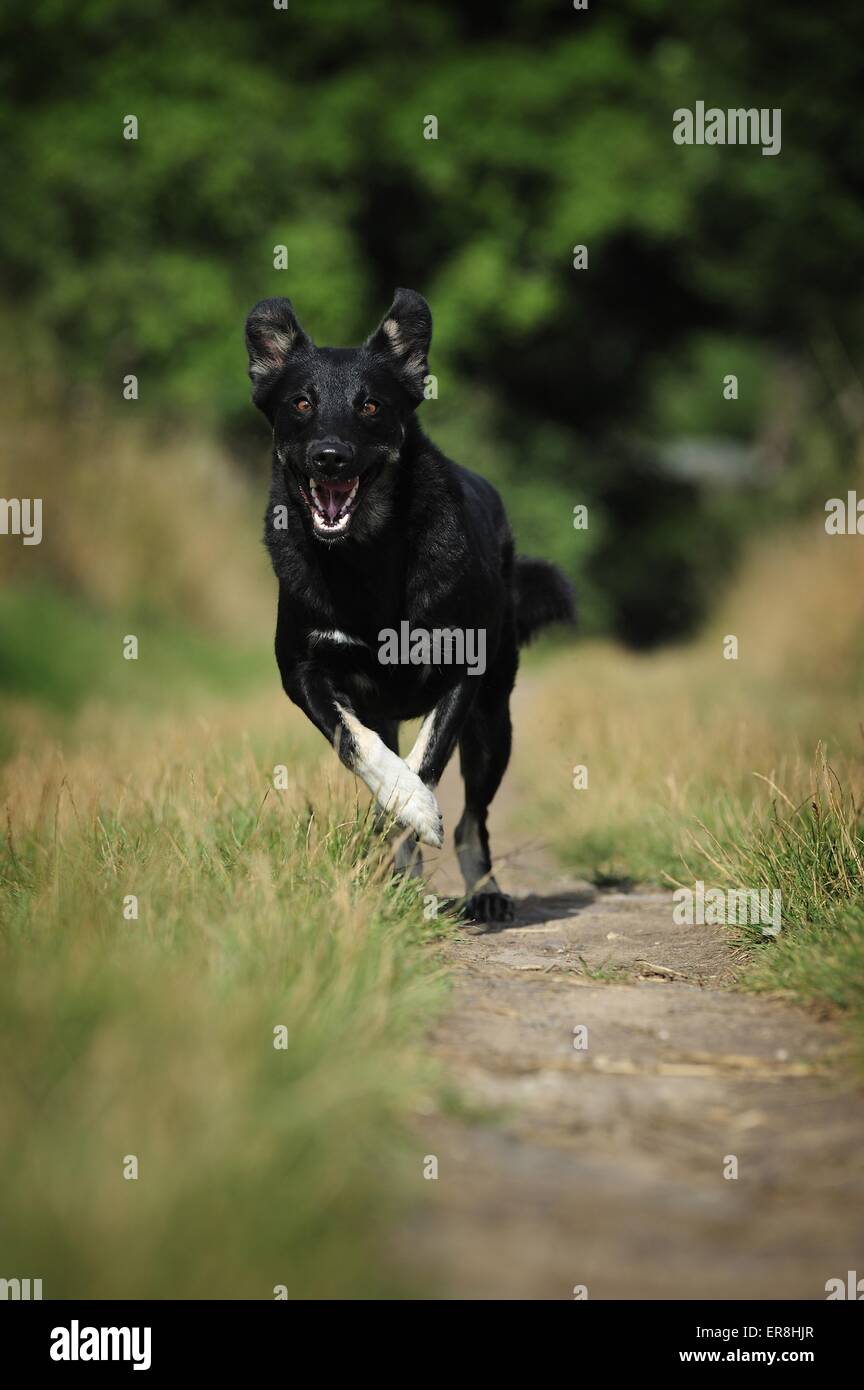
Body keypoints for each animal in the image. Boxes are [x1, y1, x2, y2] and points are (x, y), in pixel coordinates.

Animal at [244, 289, 572, 922]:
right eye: (301, 403)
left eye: (371, 406)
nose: (329, 456)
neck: (364, 556)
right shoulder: (303, 671)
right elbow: (359, 746)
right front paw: (406, 809)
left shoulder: (463, 673)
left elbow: (428, 761)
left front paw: (416, 808)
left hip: (495, 720)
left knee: (473, 821)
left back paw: (484, 892)